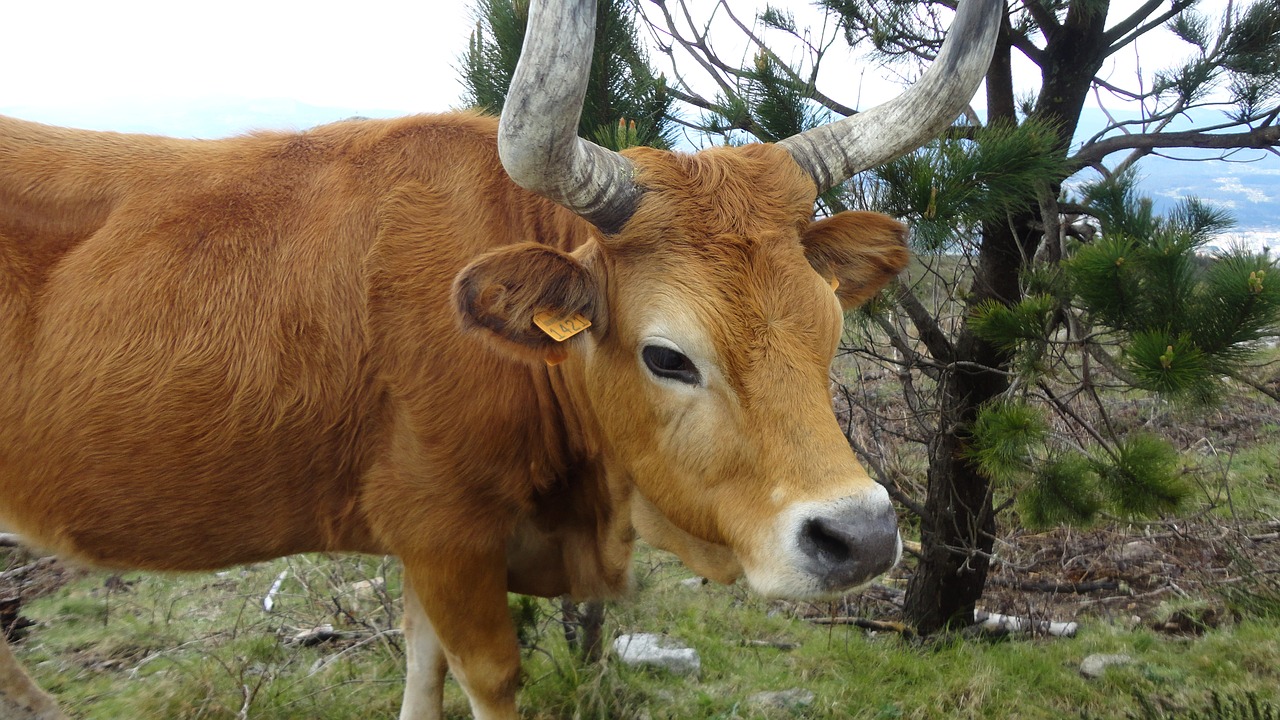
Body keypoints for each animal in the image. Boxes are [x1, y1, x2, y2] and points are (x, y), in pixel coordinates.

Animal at [0, 1, 998, 717]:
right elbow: (484, 676)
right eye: (668, 356)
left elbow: (421, 667)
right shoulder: (445, 535)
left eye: (829, 328)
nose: (861, 537)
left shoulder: (429, 550)